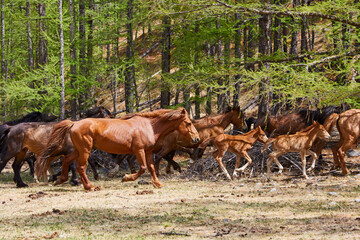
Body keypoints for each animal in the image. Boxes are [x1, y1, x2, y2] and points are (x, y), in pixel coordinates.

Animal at [37, 108, 201, 190]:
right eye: (188, 123)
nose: (197, 139)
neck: (149, 125)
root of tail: (74, 123)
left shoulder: (148, 151)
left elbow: (151, 167)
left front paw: (157, 183)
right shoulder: (139, 150)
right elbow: (142, 168)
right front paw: (126, 178)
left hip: (78, 150)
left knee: (66, 160)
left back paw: (60, 180)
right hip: (85, 151)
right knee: (81, 167)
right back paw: (90, 186)